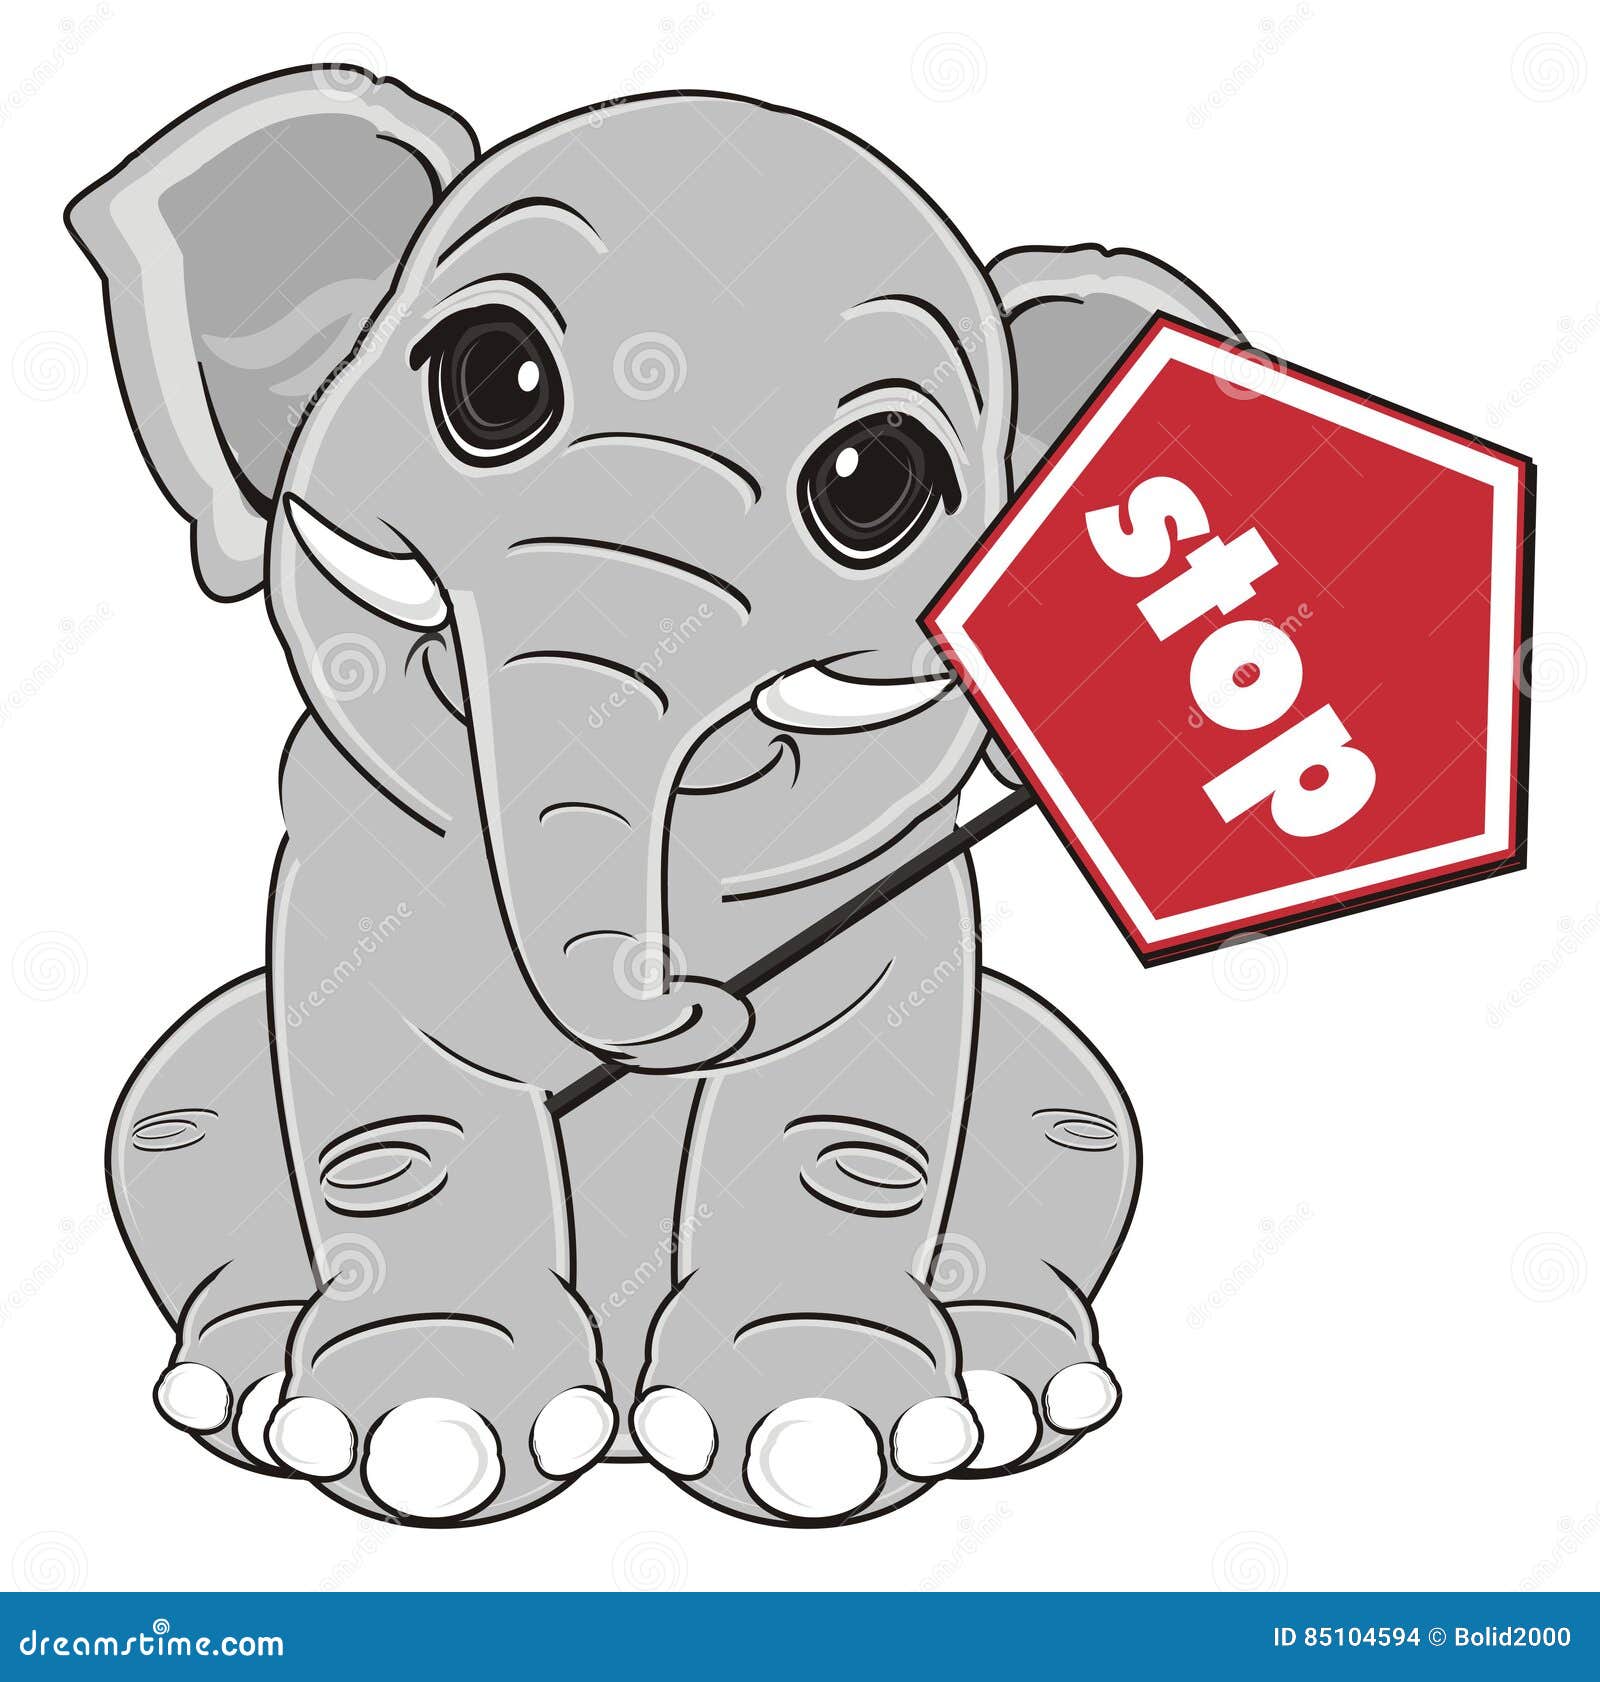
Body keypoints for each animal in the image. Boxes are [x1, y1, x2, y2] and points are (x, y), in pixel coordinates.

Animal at [70, 67, 1232, 1527]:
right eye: (493, 378)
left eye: (874, 483)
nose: (698, 1003)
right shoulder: (341, 865)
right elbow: (397, 1122)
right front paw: (428, 1434)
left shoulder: (901, 907)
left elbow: (843, 1130)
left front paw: (820, 1435)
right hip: (187, 1101)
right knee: (186, 1107)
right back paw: (238, 1390)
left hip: (1059, 1101)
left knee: (1065, 1107)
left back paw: (1019, 1390)